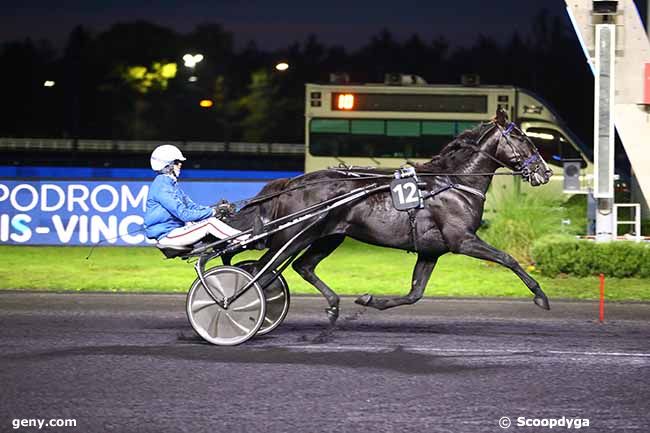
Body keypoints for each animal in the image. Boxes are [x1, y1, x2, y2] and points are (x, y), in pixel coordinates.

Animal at [228, 109, 552, 322]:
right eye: (522, 138)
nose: (545, 172)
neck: (454, 181)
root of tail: (292, 183)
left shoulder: (431, 250)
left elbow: (414, 293)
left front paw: (370, 299)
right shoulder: (462, 240)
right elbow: (508, 258)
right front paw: (541, 296)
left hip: (328, 237)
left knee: (300, 267)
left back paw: (332, 304)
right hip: (294, 237)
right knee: (261, 272)